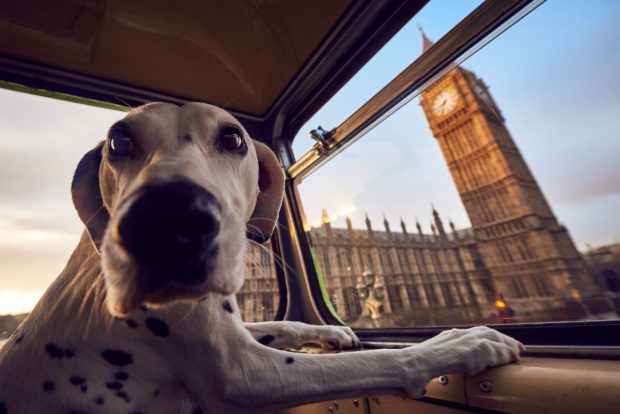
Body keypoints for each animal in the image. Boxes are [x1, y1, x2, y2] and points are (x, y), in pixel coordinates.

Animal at [0, 102, 524, 414]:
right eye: (118, 142)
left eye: (234, 139)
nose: (168, 224)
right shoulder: (244, 372)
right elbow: (382, 361)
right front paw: (464, 341)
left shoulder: (237, 326)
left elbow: (285, 323)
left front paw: (335, 331)